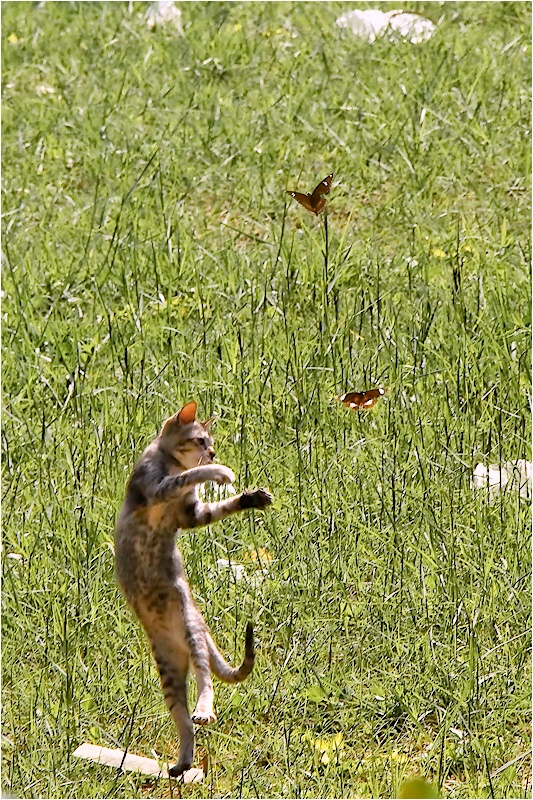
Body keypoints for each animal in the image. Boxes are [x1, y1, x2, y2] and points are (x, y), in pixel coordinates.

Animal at [112, 400, 270, 776]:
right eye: (201, 440)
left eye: (210, 443)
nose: (212, 452)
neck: (168, 459)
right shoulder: (157, 488)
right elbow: (186, 476)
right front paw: (220, 471)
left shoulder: (190, 513)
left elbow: (209, 499)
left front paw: (249, 497)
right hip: (169, 670)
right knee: (184, 719)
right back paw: (183, 760)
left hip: (190, 631)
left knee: (204, 680)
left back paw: (202, 717)